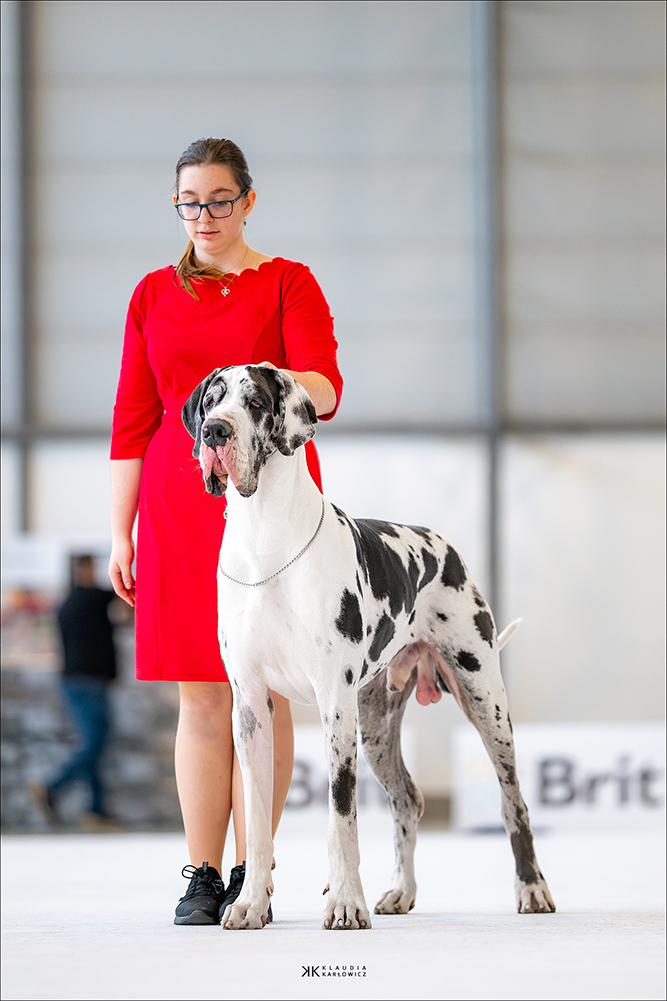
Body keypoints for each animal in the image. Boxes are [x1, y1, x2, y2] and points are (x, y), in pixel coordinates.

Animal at [182, 364, 556, 930]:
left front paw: (344, 902)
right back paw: (401, 891)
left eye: (255, 402)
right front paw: (250, 903)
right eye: (211, 400)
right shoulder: (249, 706)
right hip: (377, 723)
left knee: (514, 801)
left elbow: (341, 815)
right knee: (408, 800)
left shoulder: (335, 705)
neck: (265, 538)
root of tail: (446, 547)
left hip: (484, 700)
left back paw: (531, 888)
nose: (214, 433)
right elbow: (256, 815)